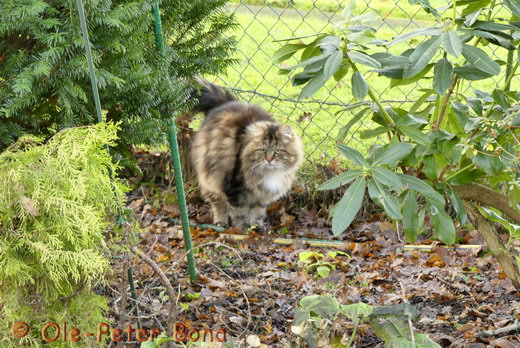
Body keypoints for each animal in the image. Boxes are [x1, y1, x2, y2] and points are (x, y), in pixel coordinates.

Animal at [189, 80, 302, 230]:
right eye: (262, 150)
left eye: (277, 151)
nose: (269, 160)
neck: (268, 173)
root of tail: (225, 103)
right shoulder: (235, 190)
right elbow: (240, 213)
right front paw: (242, 228)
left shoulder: (261, 196)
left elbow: (257, 213)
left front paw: (257, 228)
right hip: (211, 176)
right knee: (218, 204)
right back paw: (221, 223)